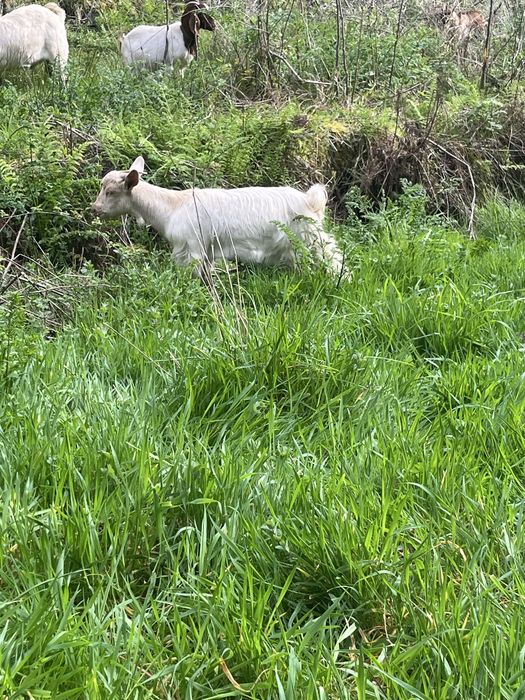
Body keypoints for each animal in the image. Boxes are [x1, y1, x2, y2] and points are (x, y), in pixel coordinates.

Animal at [92, 157, 344, 281]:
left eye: (111, 192)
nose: (95, 209)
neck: (172, 206)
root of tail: (310, 200)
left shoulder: (192, 247)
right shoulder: (208, 253)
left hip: (311, 237)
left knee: (334, 257)